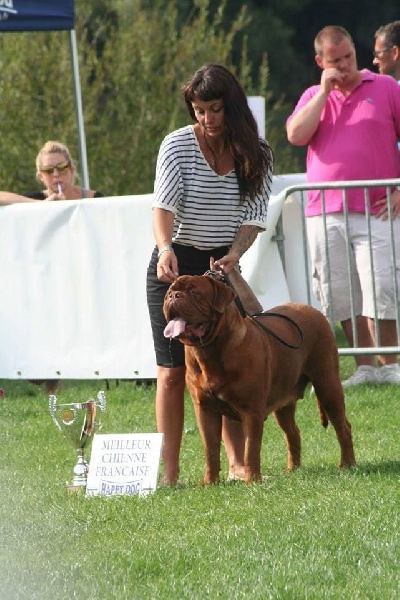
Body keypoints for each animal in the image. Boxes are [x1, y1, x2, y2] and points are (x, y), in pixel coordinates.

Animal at [162, 272, 356, 482]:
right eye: (169, 292)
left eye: (194, 292)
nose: (174, 296)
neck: (209, 351)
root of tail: (313, 310)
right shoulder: (205, 410)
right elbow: (211, 449)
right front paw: (209, 483)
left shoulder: (251, 411)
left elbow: (251, 448)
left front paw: (252, 480)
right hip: (284, 403)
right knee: (293, 432)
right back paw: (293, 469)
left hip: (327, 385)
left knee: (343, 426)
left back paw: (347, 464)